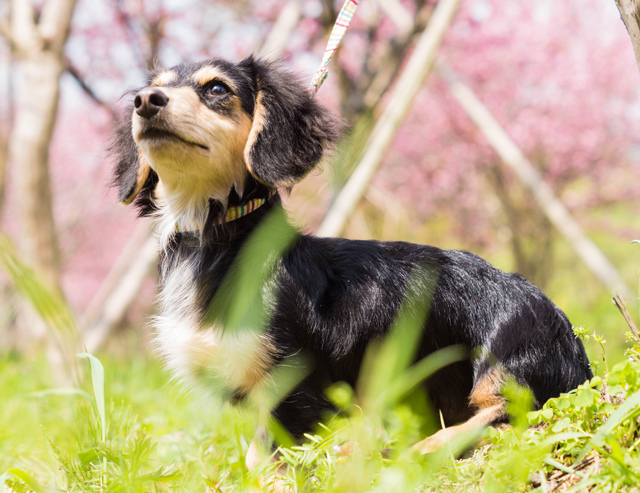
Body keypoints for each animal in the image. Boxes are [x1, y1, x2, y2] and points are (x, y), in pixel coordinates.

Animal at [111, 55, 596, 460]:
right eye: (152, 87)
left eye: (216, 89)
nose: (145, 101)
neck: (213, 238)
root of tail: (572, 341)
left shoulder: (293, 387)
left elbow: (263, 458)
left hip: (505, 365)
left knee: (505, 416)